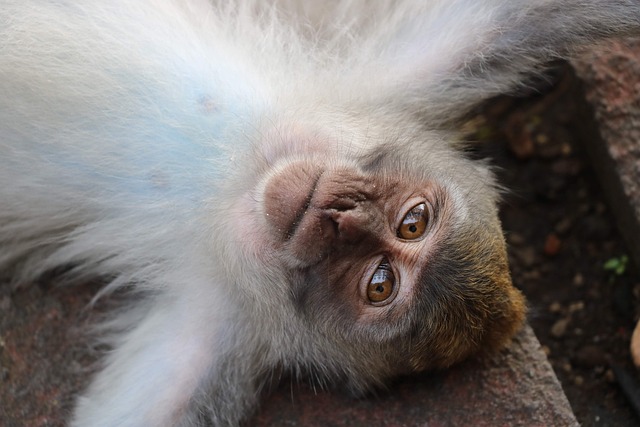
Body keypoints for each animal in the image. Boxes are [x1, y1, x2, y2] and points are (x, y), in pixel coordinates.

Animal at [0, 0, 636, 427]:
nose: (340, 219)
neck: (237, 184)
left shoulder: (220, 332)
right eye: (414, 221)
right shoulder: (392, 90)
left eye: (379, 285)